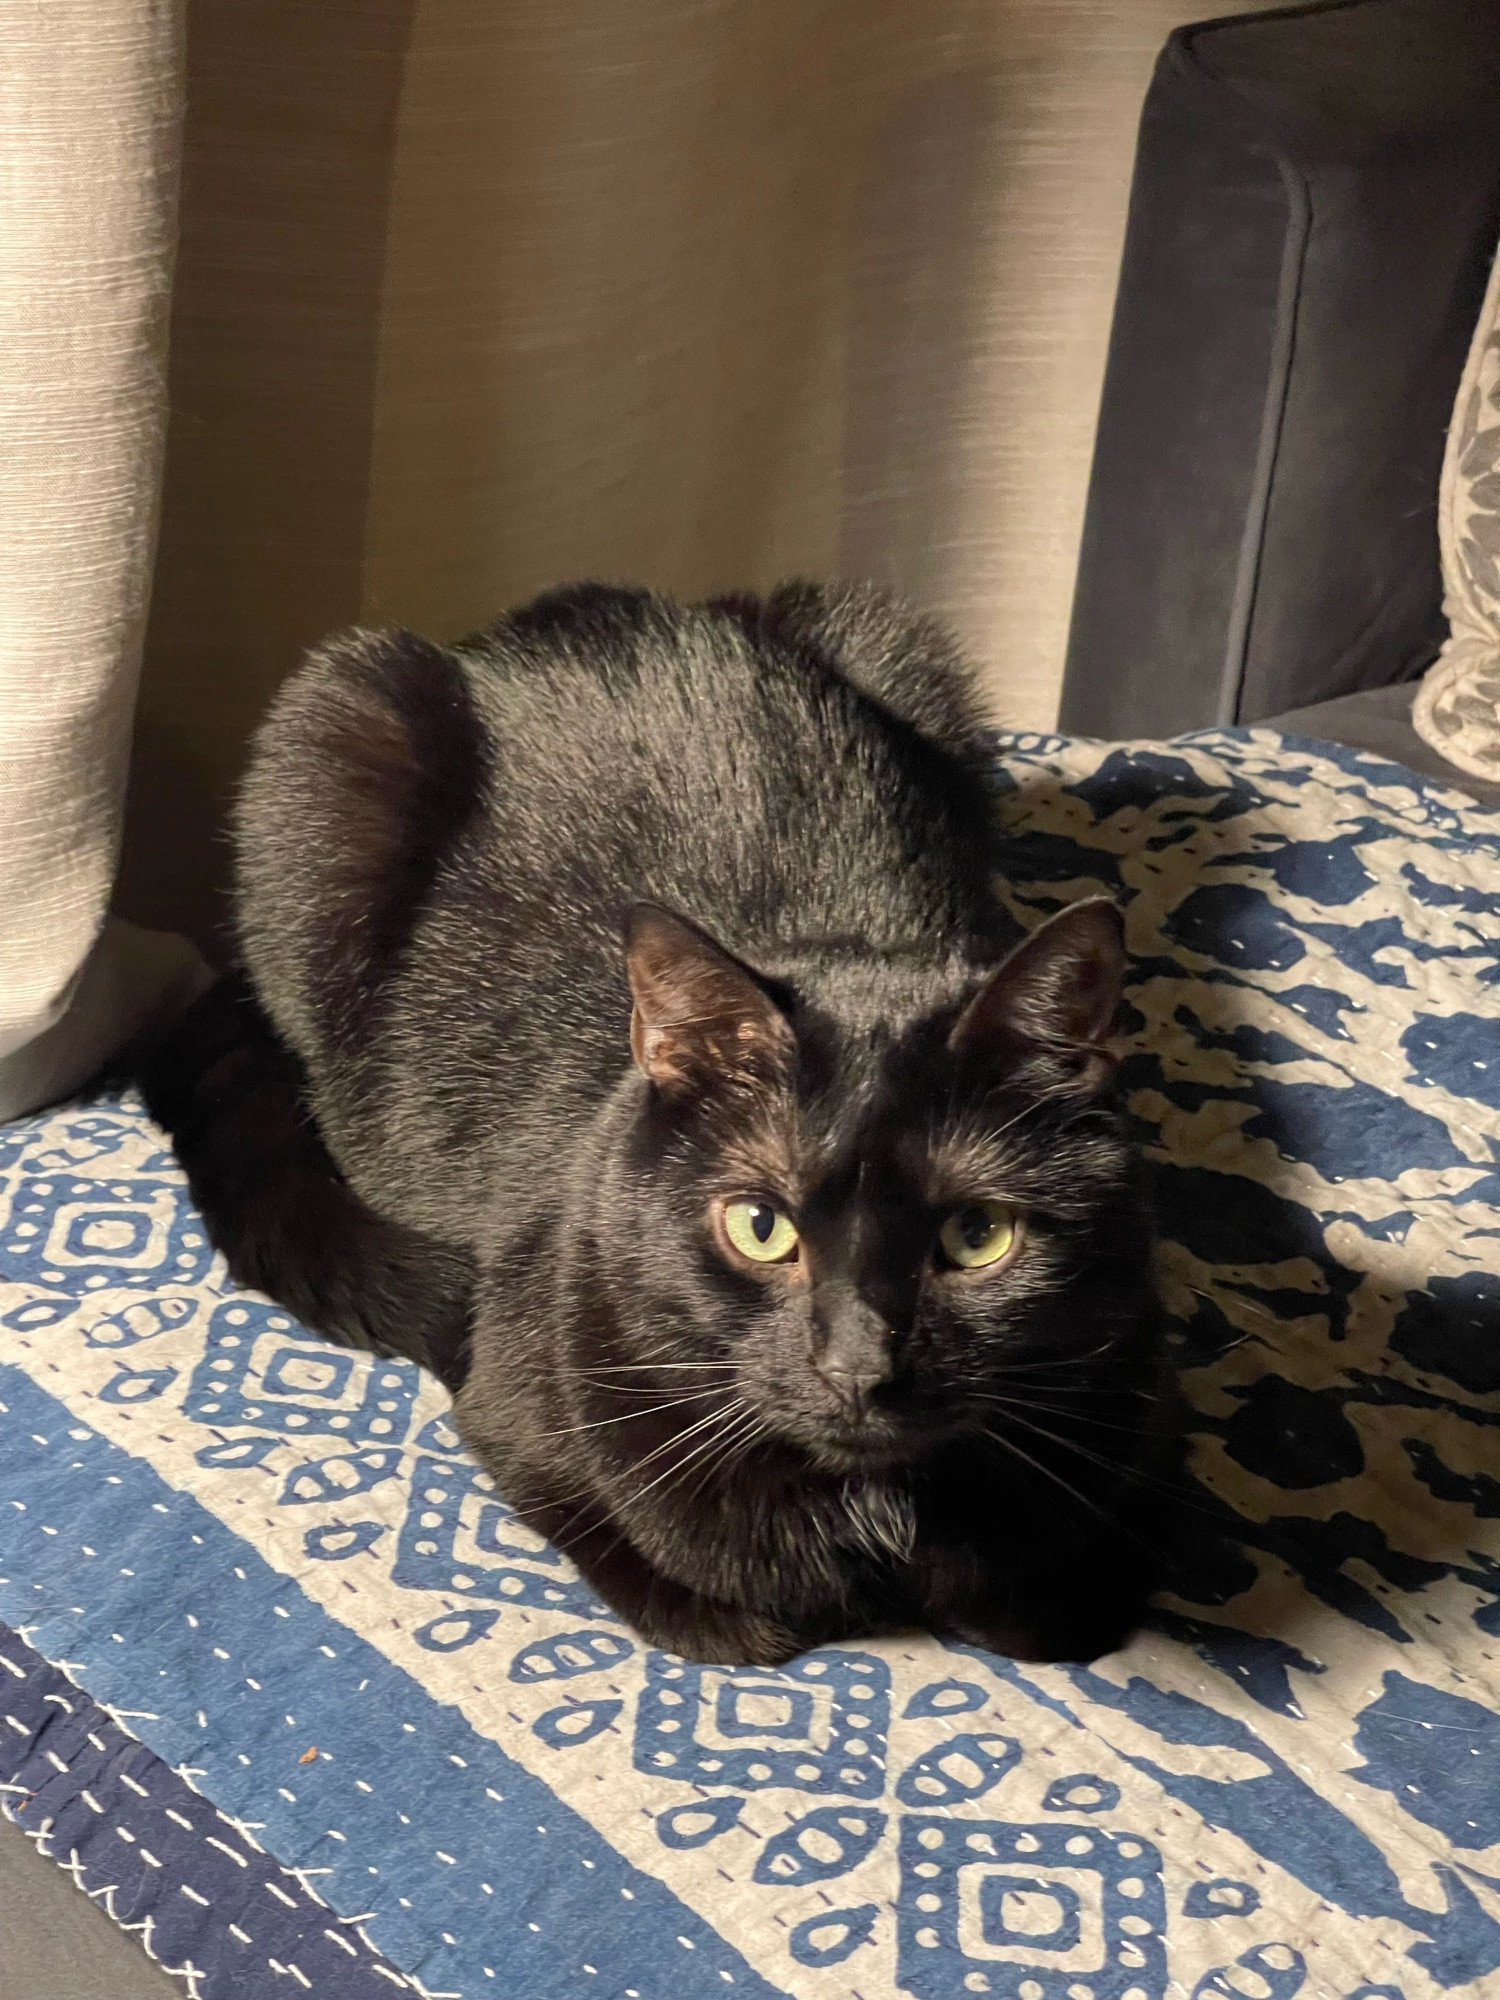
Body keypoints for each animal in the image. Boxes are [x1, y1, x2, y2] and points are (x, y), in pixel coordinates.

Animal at [141, 584, 1184, 1672]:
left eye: (977, 1237)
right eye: (760, 1227)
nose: (858, 1365)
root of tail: (564, 619)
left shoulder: (1138, 1444)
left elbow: (1049, 1608)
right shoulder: (525, 1413)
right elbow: (724, 1606)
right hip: (337, 722)